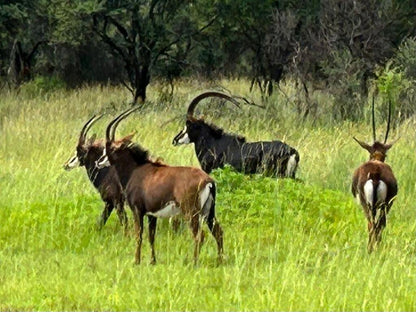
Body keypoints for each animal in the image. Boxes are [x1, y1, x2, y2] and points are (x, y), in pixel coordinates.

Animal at [96, 108, 224, 266]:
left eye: (111, 148)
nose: (98, 162)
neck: (135, 170)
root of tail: (208, 181)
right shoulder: (152, 215)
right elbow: (151, 237)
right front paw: (152, 261)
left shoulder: (137, 211)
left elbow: (138, 235)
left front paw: (136, 261)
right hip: (209, 212)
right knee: (218, 232)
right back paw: (220, 261)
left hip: (191, 212)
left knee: (200, 236)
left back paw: (194, 262)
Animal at [352, 98, 398, 252]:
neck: (376, 159)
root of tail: (376, 173)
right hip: (383, 206)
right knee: (378, 225)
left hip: (371, 205)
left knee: (373, 225)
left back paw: (371, 249)